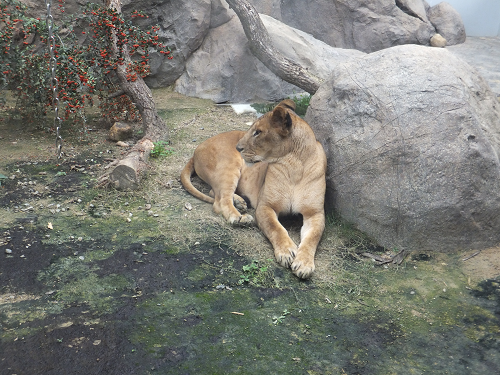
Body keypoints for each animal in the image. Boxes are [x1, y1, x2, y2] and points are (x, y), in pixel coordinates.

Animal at [181, 100, 328, 280]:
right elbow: (276, 228)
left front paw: (304, 264)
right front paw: (286, 252)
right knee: (220, 201)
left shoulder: (315, 213)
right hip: (229, 166)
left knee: (214, 194)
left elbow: (312, 238)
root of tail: (198, 148)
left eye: (258, 132)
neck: (294, 165)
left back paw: (240, 203)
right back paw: (239, 218)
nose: (238, 147)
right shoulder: (265, 206)